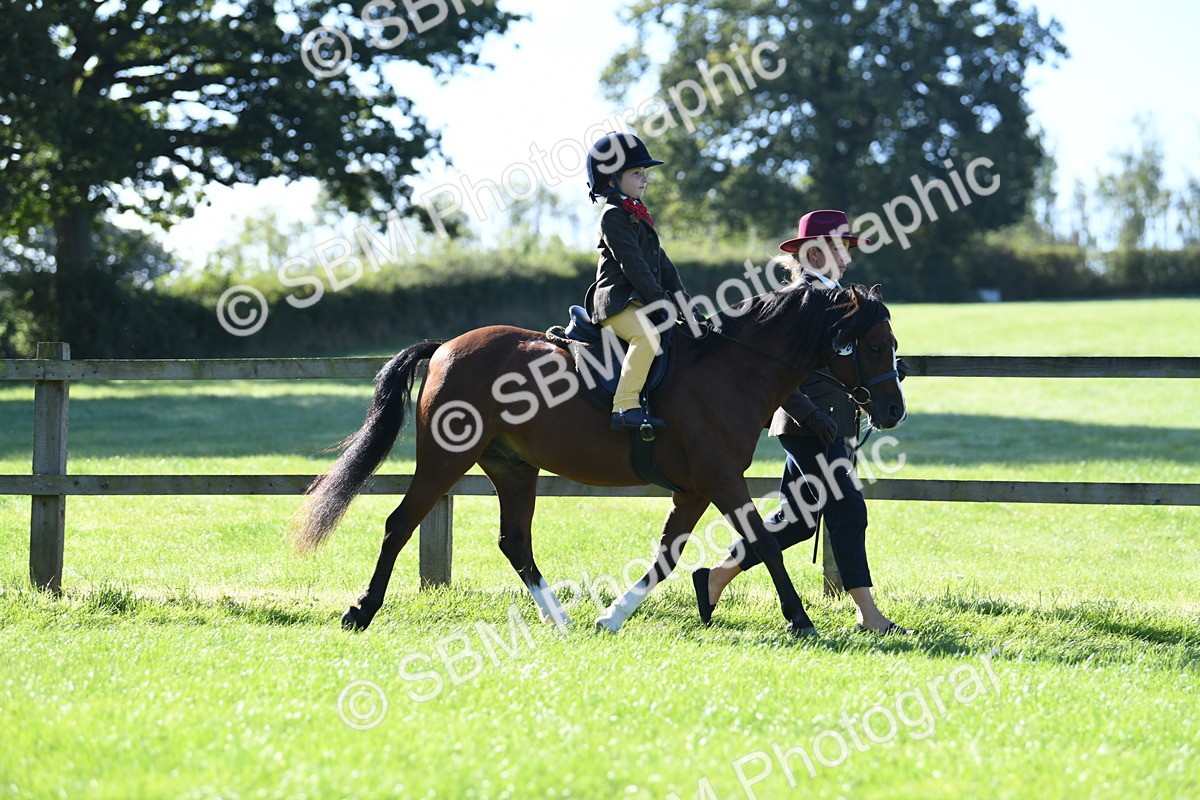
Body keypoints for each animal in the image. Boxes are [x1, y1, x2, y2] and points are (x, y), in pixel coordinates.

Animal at [290, 283, 906, 636]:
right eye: (875, 346)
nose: (894, 410)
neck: (732, 368)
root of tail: (445, 347)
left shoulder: (695, 489)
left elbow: (667, 556)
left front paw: (612, 615)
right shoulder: (721, 479)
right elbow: (766, 545)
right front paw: (800, 621)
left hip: (514, 469)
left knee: (515, 542)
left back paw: (558, 617)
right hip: (446, 459)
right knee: (399, 525)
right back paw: (361, 611)